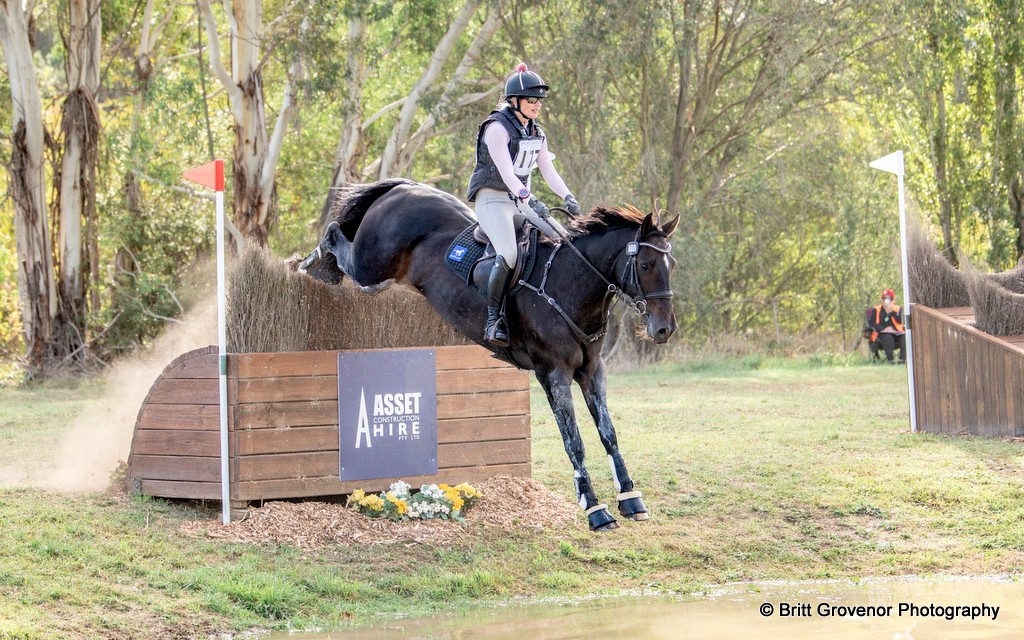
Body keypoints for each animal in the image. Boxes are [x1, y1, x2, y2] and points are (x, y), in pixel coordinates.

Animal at [299, 179, 679, 531]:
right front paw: (594, 509)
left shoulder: (592, 371)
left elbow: (608, 433)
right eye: (646, 265)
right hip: (371, 269)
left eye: (670, 264)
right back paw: (313, 264)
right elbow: (575, 442)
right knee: (337, 239)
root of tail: (405, 188)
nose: (664, 329)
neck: (568, 283)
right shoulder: (553, 373)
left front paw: (630, 498)